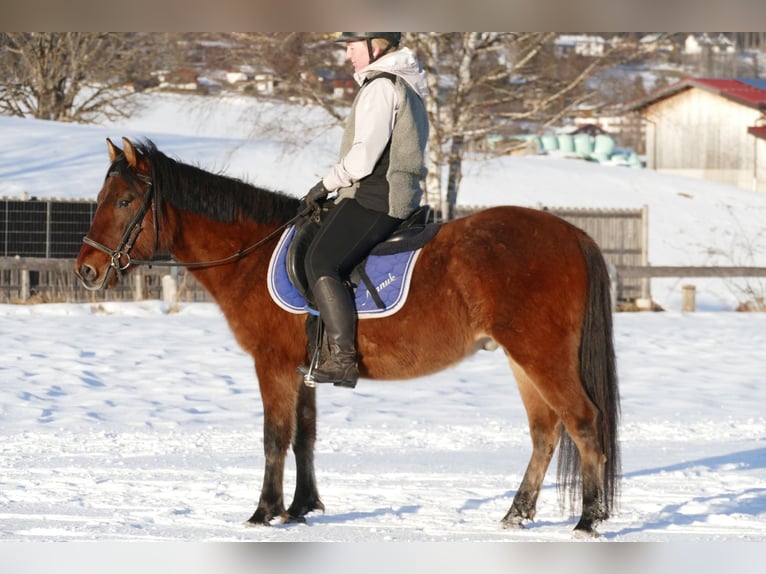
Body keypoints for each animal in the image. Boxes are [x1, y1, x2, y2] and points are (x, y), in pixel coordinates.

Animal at [75, 137, 620, 536]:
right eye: (100, 199)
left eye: (125, 200)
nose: (86, 270)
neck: (252, 253)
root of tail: (574, 235)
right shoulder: (304, 369)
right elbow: (305, 436)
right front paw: (301, 507)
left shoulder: (272, 364)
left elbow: (275, 437)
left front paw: (264, 512)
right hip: (522, 358)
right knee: (545, 433)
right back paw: (516, 514)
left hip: (541, 355)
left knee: (583, 423)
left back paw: (588, 521)